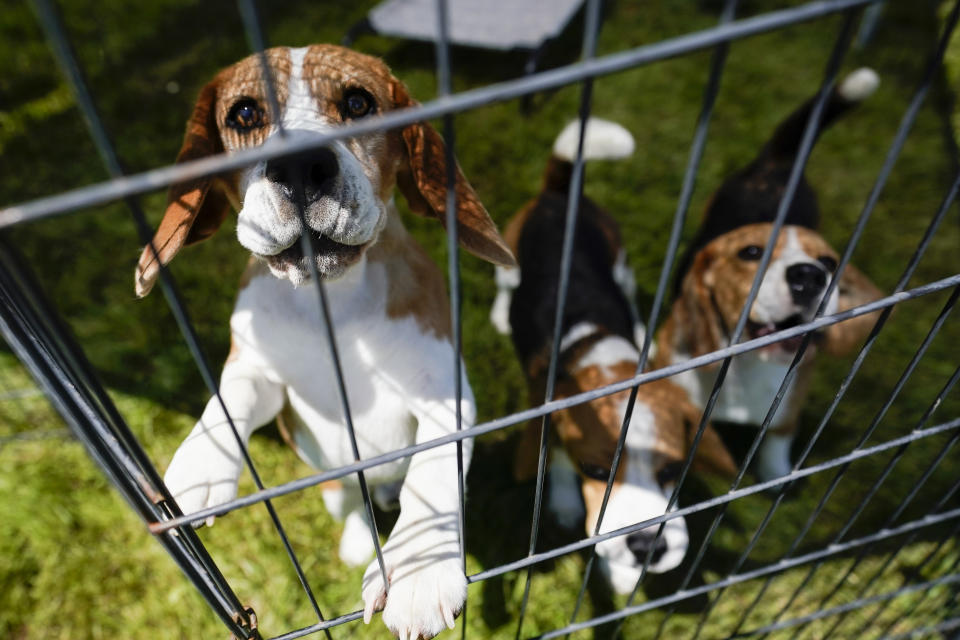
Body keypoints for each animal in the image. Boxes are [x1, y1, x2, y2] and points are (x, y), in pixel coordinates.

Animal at [492, 119, 732, 592]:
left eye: (671, 470)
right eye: (596, 471)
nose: (647, 548)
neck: (599, 348)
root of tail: (559, 196)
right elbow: (556, 459)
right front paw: (566, 503)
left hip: (619, 256)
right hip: (507, 258)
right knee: (506, 284)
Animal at [652, 69, 884, 480]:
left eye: (829, 263)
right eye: (751, 253)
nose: (810, 276)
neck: (746, 366)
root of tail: (781, 162)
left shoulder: (791, 398)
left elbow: (779, 436)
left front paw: (777, 475)